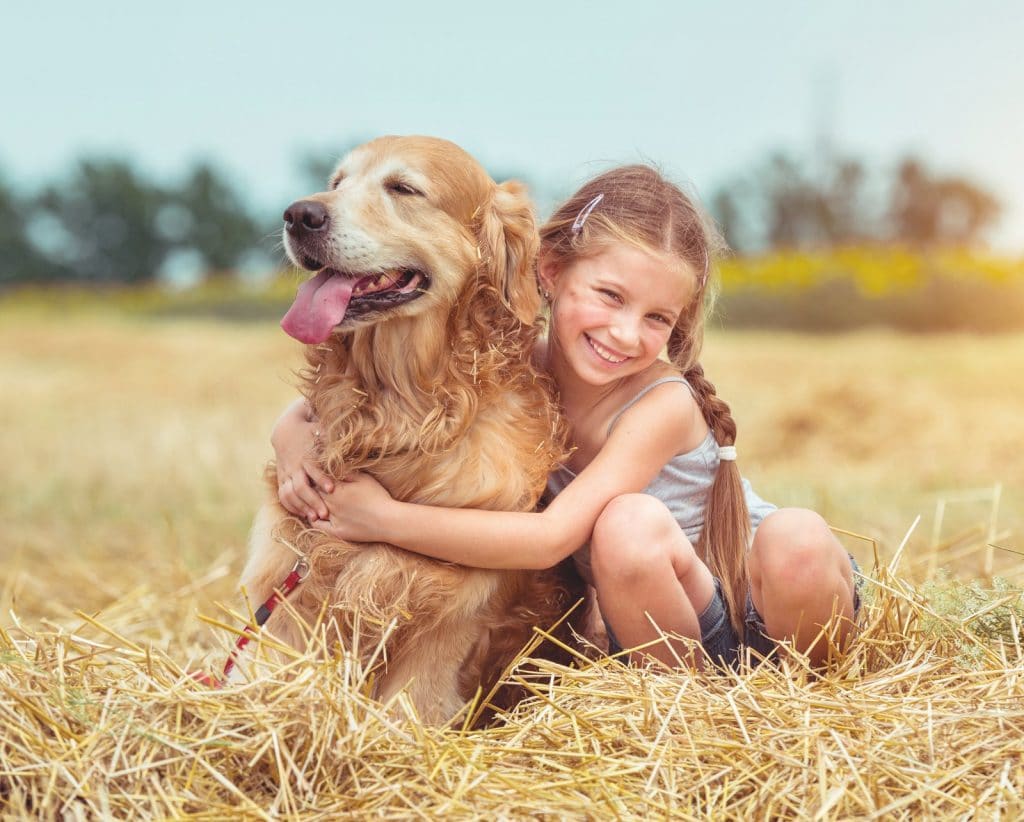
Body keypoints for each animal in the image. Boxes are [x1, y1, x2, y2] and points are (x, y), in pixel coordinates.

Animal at [234, 136, 585, 724]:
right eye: (336, 182)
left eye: (403, 188)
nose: (298, 215)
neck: (399, 415)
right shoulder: (290, 580)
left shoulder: (454, 613)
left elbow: (408, 707)